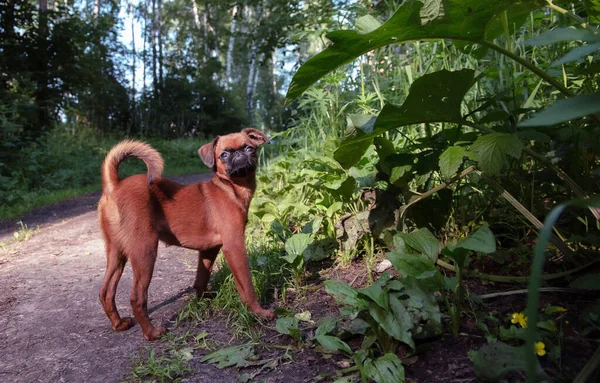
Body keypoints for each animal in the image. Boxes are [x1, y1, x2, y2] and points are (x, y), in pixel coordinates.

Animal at [98, 127, 274, 340]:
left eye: (249, 148)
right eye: (223, 154)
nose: (239, 154)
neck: (229, 189)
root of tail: (114, 185)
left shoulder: (209, 250)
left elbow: (201, 277)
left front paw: (203, 297)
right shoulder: (234, 247)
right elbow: (247, 286)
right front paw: (258, 312)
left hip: (116, 251)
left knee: (106, 291)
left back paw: (118, 324)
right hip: (145, 250)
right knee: (136, 297)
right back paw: (152, 333)